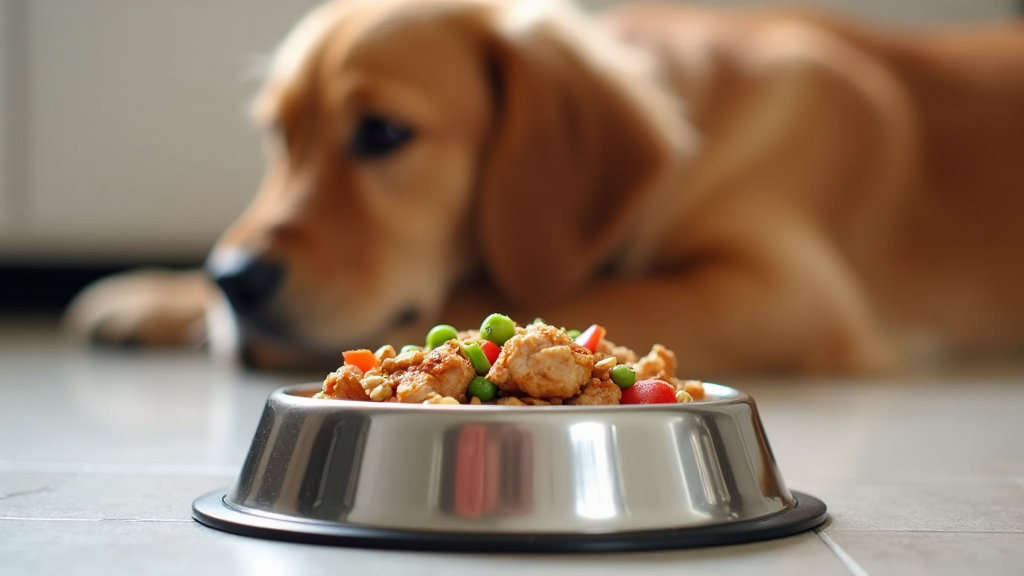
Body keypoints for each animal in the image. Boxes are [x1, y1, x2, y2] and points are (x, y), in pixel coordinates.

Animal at [66, 0, 1024, 377]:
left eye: (384, 134)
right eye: (277, 135)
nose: (236, 281)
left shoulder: (786, 291)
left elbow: (494, 288)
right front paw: (163, 297)